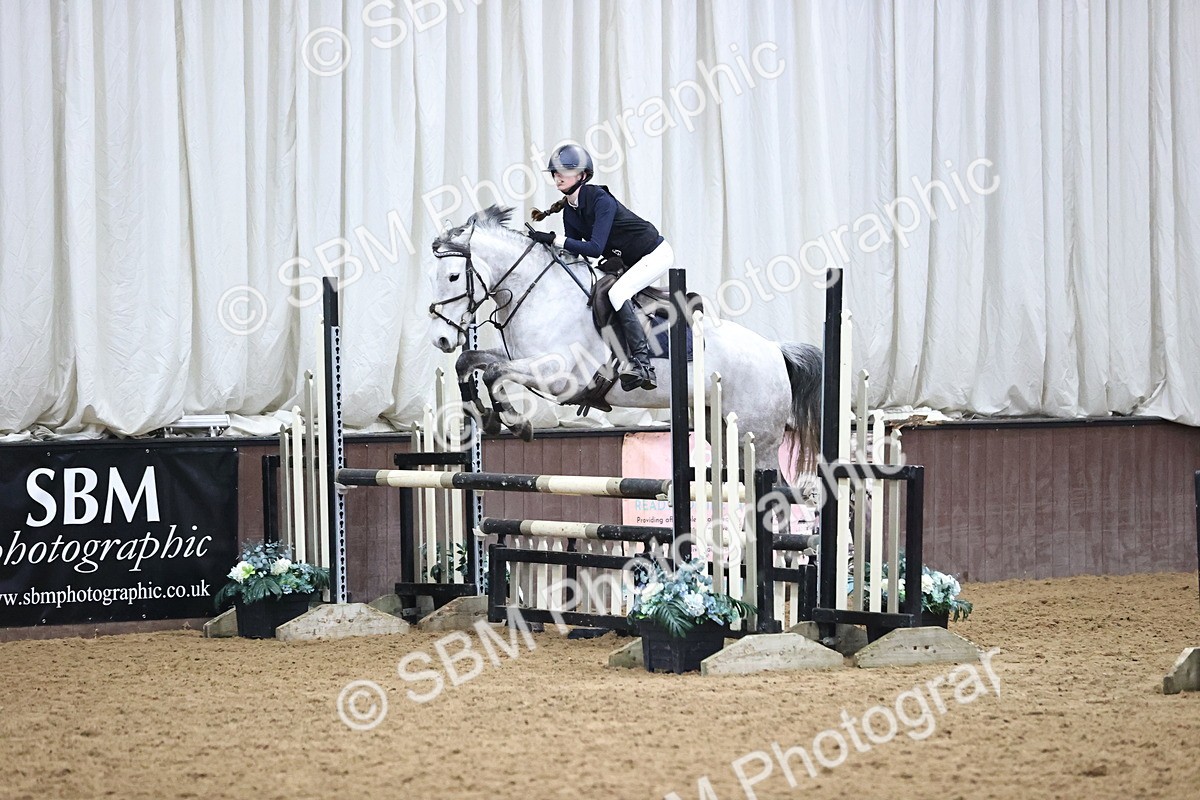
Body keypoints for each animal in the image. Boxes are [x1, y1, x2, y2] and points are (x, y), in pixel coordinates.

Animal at [425, 205, 821, 478]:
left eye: (454, 275)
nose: (441, 338)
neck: (540, 293)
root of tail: (776, 352)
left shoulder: (558, 376)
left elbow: (494, 373)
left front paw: (516, 423)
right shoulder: (521, 358)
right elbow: (470, 362)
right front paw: (485, 416)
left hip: (759, 439)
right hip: (721, 429)